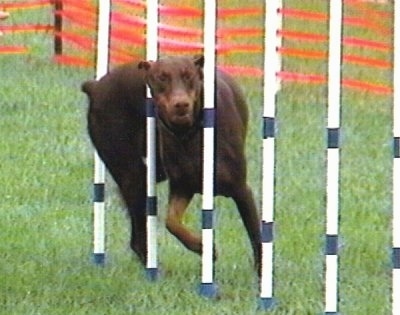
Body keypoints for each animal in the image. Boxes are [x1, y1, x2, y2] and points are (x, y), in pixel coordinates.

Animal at [139, 55, 260, 272]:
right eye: (162, 77)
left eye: (188, 76)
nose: (181, 104)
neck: (189, 133)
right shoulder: (182, 186)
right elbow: (171, 221)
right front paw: (203, 247)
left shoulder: (241, 190)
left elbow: (256, 236)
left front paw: (261, 272)